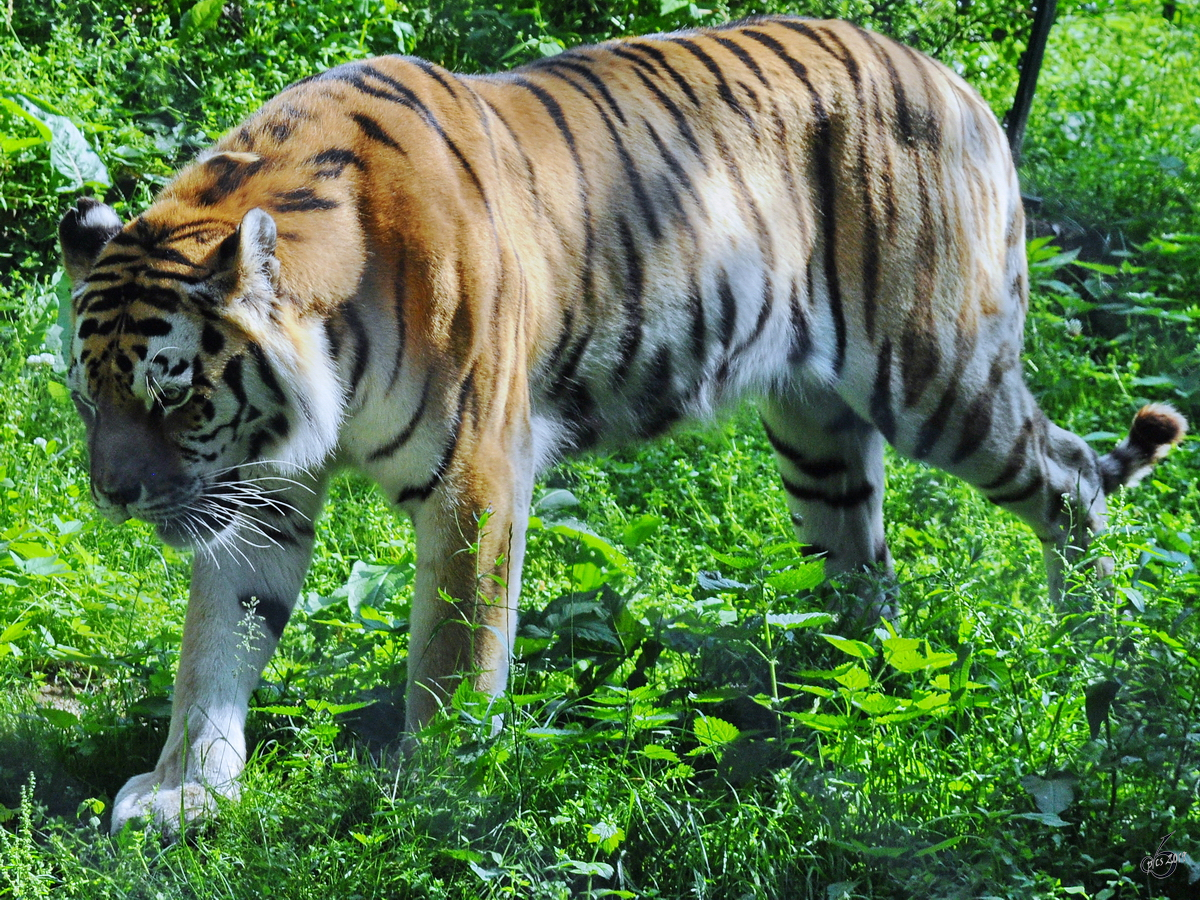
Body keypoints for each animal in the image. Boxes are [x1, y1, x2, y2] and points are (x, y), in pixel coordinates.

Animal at [58, 17, 1180, 835]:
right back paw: (845, 701)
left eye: (171, 394)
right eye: (88, 395)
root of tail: (955, 82)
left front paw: (437, 794)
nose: (112, 495)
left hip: (940, 376)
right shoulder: (260, 488)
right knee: (867, 568)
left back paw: (1100, 665)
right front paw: (186, 789)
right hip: (818, 434)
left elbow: (454, 656)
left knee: (1073, 477)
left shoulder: (476, 476)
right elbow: (219, 641)